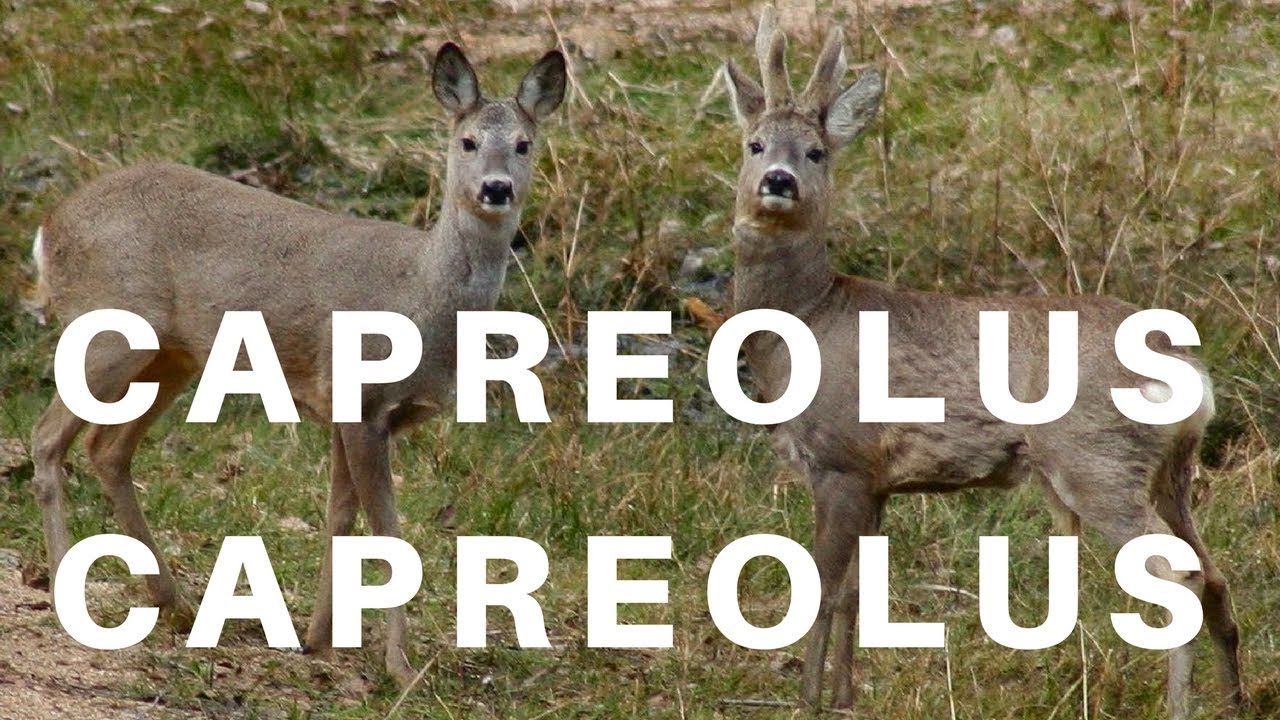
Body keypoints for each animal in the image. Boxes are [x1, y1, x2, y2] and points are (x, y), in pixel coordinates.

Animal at [27, 42, 565, 688]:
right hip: (107, 335)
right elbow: (386, 530)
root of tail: (48, 227)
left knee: (107, 448)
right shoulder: (359, 399)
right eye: (467, 141)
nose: (496, 188)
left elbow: (340, 517)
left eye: (524, 144)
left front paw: (319, 640)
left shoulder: (349, 409)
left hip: (173, 355)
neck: (421, 292)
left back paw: (175, 604)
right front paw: (399, 666)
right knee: (47, 437)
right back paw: (71, 597)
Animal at [720, 7, 1243, 718]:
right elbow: (857, 592)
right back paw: (1236, 700)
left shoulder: (841, 459)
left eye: (815, 151)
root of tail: (1187, 366)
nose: (779, 181)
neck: (808, 317)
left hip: (1096, 459)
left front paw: (808, 702)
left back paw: (1178, 706)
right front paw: (847, 698)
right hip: (1169, 469)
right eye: (754, 145)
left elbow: (823, 592)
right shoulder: (877, 479)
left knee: (1180, 576)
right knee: (1213, 574)